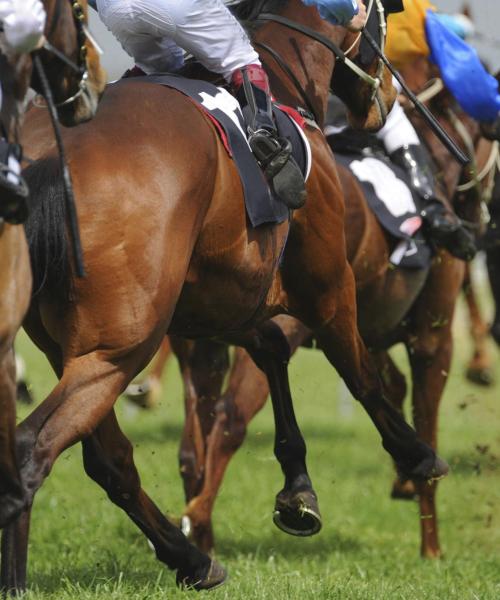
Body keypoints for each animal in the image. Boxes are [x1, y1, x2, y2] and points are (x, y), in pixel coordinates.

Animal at [0, 0, 446, 592]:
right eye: (384, 26)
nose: (388, 101)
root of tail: (49, 156)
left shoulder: (219, 300)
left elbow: (270, 354)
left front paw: (298, 491)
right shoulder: (328, 282)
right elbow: (361, 374)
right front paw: (416, 455)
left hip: (69, 345)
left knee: (109, 459)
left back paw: (191, 558)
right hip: (120, 348)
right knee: (34, 449)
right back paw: (22, 578)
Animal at [174, 58, 490, 556]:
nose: (477, 223)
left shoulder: (363, 329)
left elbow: (388, 386)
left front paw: (404, 477)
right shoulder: (431, 338)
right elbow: (423, 418)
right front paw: (432, 545)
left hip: (200, 335)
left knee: (194, 440)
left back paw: (202, 533)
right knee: (230, 417)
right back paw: (204, 516)